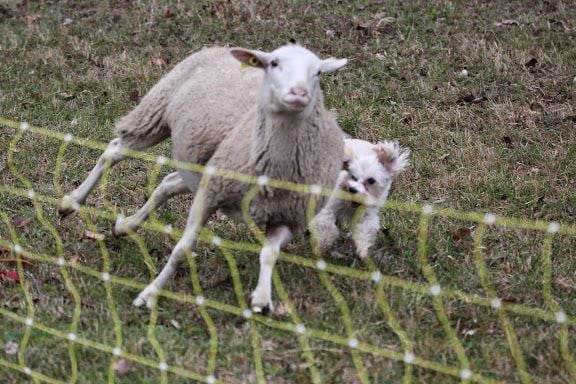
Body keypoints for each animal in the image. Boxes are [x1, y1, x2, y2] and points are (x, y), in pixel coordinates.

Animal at [58, 42, 346, 312]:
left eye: (318, 72)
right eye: (274, 63)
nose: (299, 94)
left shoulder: (289, 218)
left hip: (198, 167)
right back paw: (71, 202)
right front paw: (150, 294)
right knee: (112, 152)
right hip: (155, 115)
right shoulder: (211, 195)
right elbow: (181, 251)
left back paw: (126, 225)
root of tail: (218, 48)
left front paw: (262, 299)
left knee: (167, 184)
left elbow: (269, 254)